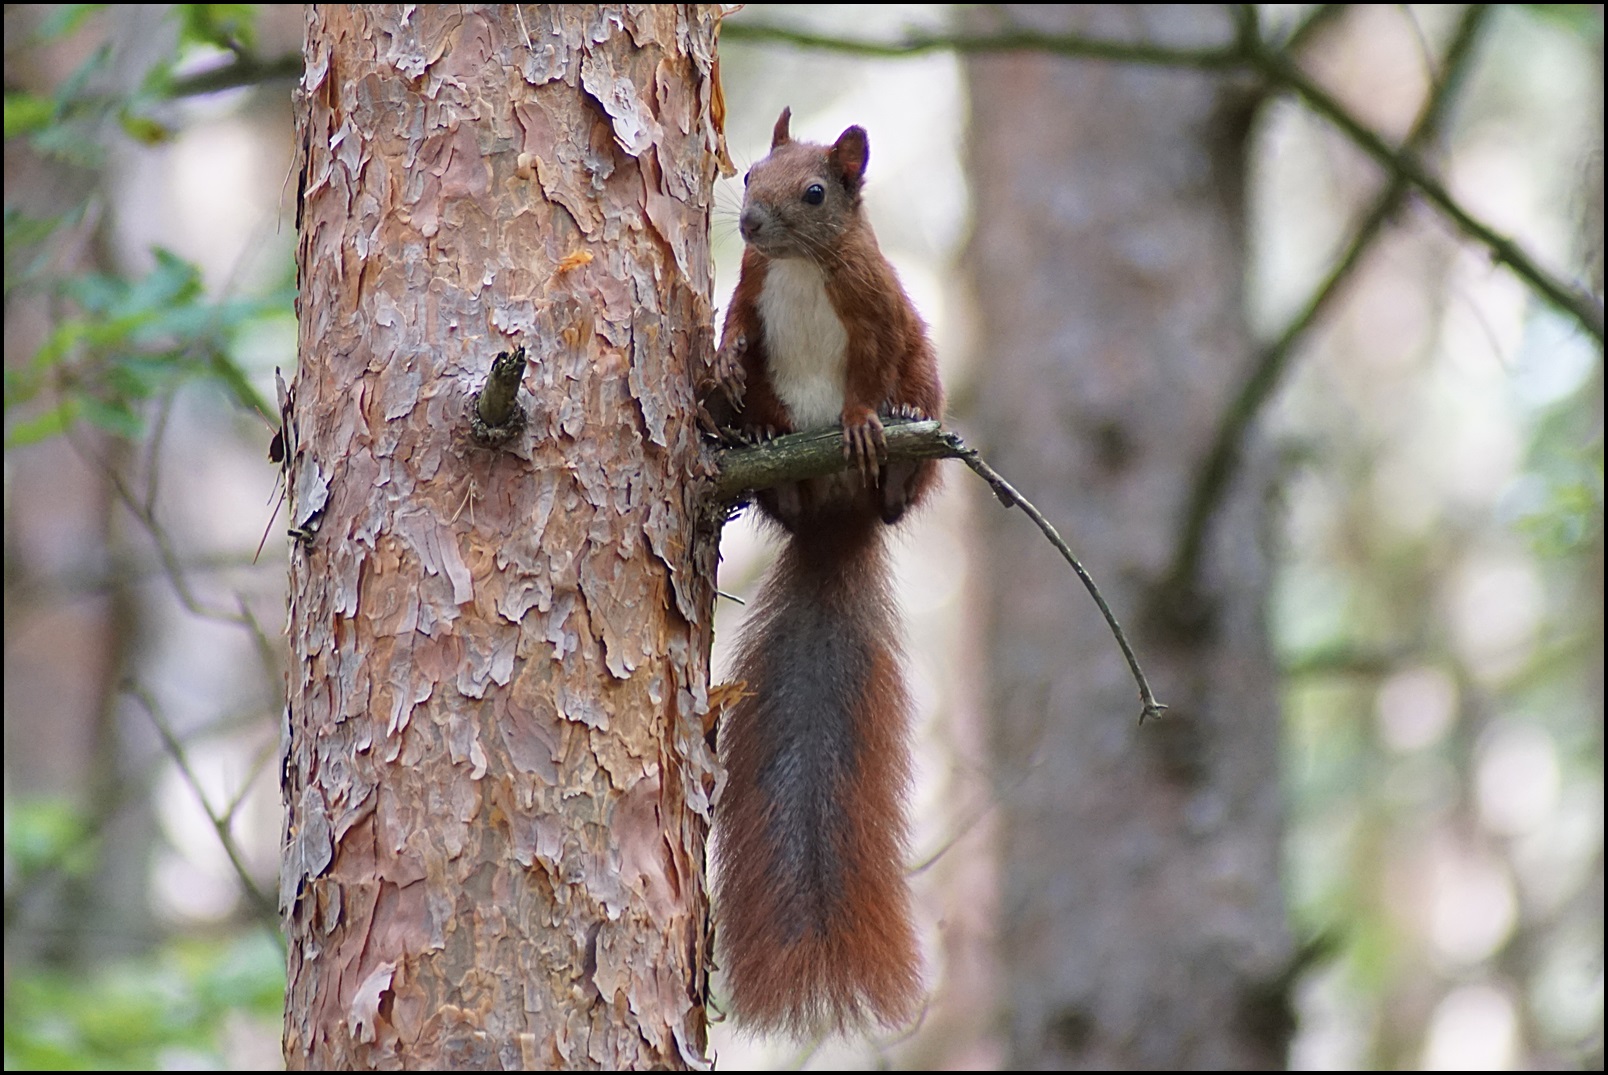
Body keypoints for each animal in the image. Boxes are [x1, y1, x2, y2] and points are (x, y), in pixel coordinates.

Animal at [704, 106, 939, 1028]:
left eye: (814, 191)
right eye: (746, 175)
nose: (748, 222)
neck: (802, 268)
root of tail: (838, 523)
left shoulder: (879, 313)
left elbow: (871, 370)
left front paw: (867, 417)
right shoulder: (749, 285)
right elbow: (736, 322)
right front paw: (726, 358)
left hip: (929, 391)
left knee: (902, 470)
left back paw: (895, 463)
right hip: (783, 467)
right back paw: (772, 450)